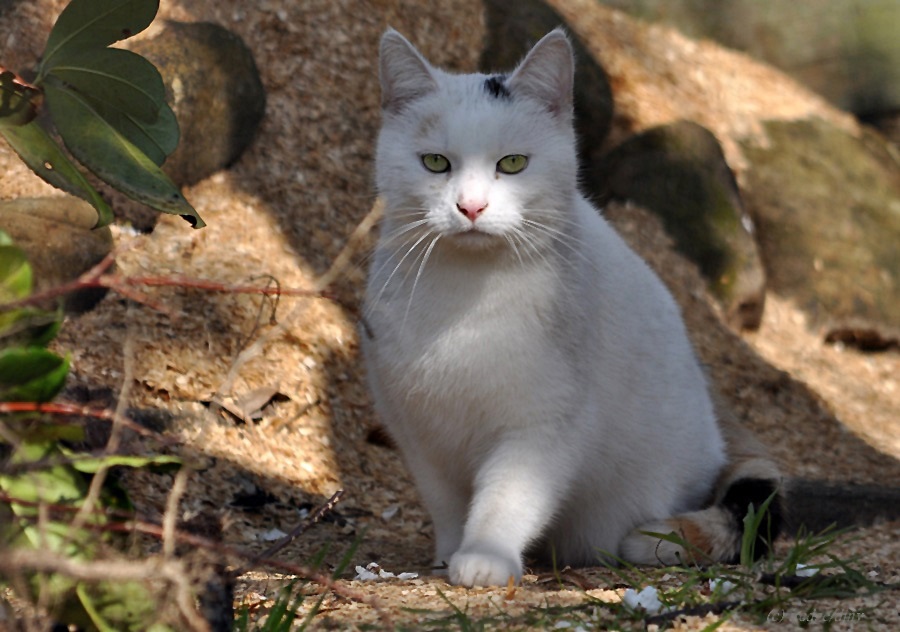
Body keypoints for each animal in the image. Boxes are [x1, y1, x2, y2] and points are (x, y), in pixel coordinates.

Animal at [358, 28, 780, 588]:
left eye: (513, 164)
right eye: (435, 163)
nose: (471, 207)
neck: (467, 297)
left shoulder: (543, 427)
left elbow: (509, 497)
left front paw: (486, 555)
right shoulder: (417, 429)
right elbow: (446, 504)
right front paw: (449, 554)